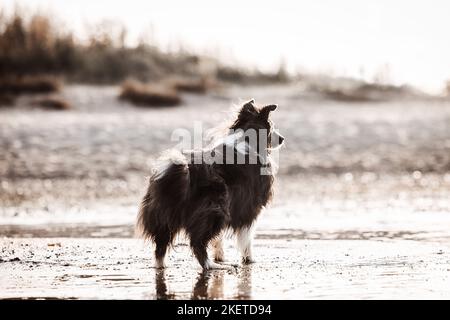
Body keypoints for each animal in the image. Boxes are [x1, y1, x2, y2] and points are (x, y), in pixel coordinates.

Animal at [138, 100, 284, 270]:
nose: (282, 139)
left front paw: (220, 256)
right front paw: (249, 260)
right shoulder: (250, 207)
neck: (247, 138)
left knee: (161, 244)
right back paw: (213, 265)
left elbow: (218, 239)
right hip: (214, 210)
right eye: (271, 126)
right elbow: (247, 236)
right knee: (197, 242)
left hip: (163, 214)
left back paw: (161, 265)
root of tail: (184, 171)